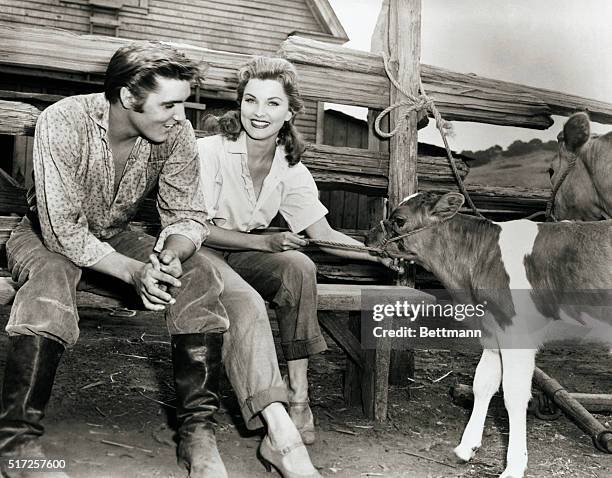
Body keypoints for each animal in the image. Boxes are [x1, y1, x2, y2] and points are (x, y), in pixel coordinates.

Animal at [366, 191, 608, 478]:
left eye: (399, 220)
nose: (368, 236)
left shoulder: (516, 334)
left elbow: (513, 395)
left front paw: (514, 466)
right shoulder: (493, 331)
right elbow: (483, 383)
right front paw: (466, 447)